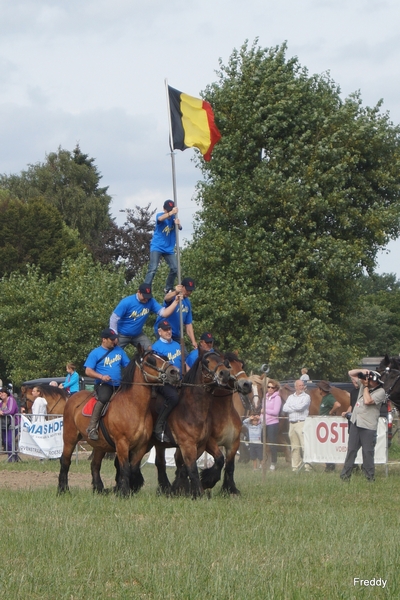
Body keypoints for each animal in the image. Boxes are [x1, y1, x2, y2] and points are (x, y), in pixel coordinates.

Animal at [57, 346, 179, 496]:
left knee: (95, 464)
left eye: (164, 358)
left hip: (100, 445)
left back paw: (99, 489)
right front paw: (124, 492)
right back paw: (63, 489)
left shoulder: (141, 446)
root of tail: (72, 398)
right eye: (151, 360)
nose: (174, 372)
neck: (133, 407)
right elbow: (125, 468)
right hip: (70, 438)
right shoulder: (122, 444)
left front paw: (128, 488)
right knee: (65, 461)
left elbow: (132, 468)